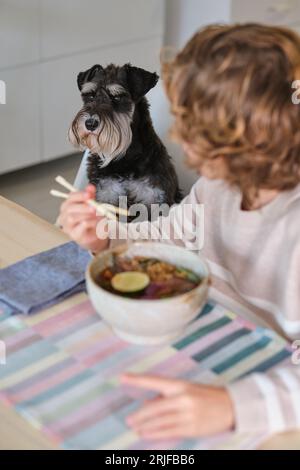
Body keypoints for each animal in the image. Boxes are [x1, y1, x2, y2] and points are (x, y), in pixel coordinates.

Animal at [69, 62, 182, 218]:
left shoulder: (155, 197)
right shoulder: (106, 194)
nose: (90, 124)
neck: (126, 156)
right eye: (90, 95)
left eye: (117, 97)